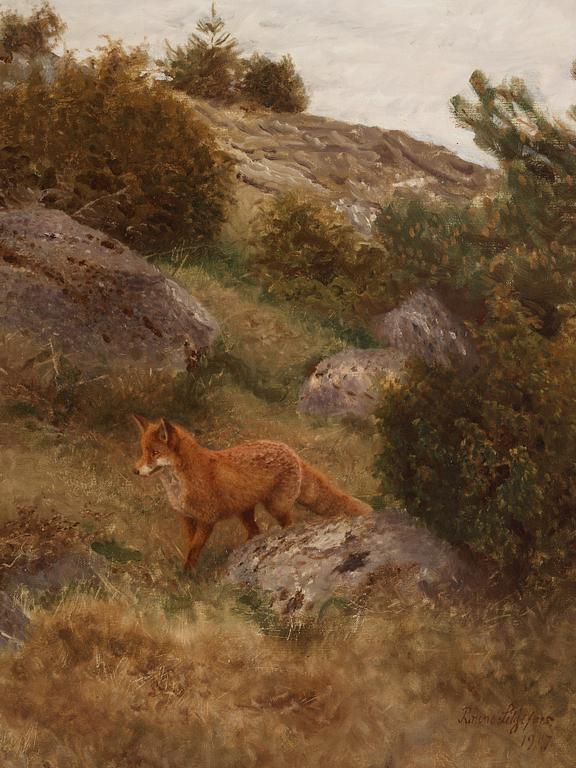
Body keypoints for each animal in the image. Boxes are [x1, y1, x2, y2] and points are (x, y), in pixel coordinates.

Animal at [132, 416, 372, 571]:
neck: (181, 484)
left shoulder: (207, 520)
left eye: (154, 453)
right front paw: (189, 574)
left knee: (289, 524)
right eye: (143, 451)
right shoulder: (186, 518)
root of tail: (289, 450)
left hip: (276, 507)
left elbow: (193, 550)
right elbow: (190, 546)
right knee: (255, 531)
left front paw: (187, 577)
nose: (134, 470)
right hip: (245, 512)